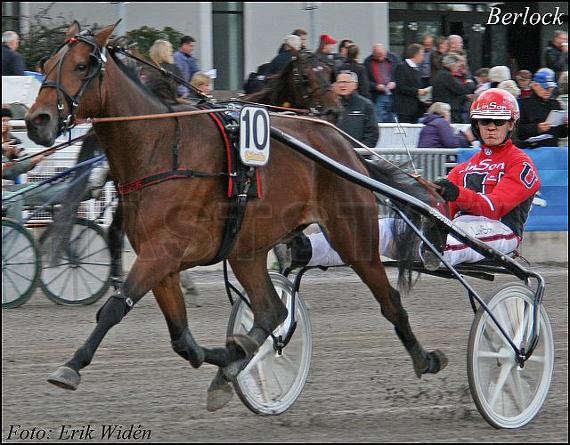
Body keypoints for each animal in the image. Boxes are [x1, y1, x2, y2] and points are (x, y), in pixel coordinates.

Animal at [26, 22, 448, 412]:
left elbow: (115, 307)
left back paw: (425, 358)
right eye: (46, 64)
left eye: (82, 66)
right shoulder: (161, 260)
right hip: (246, 251)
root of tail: (345, 148)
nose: (37, 120)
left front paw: (71, 366)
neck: (161, 147)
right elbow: (182, 339)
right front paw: (228, 358)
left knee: (388, 299)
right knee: (272, 310)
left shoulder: (163, 252)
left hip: (353, 236)